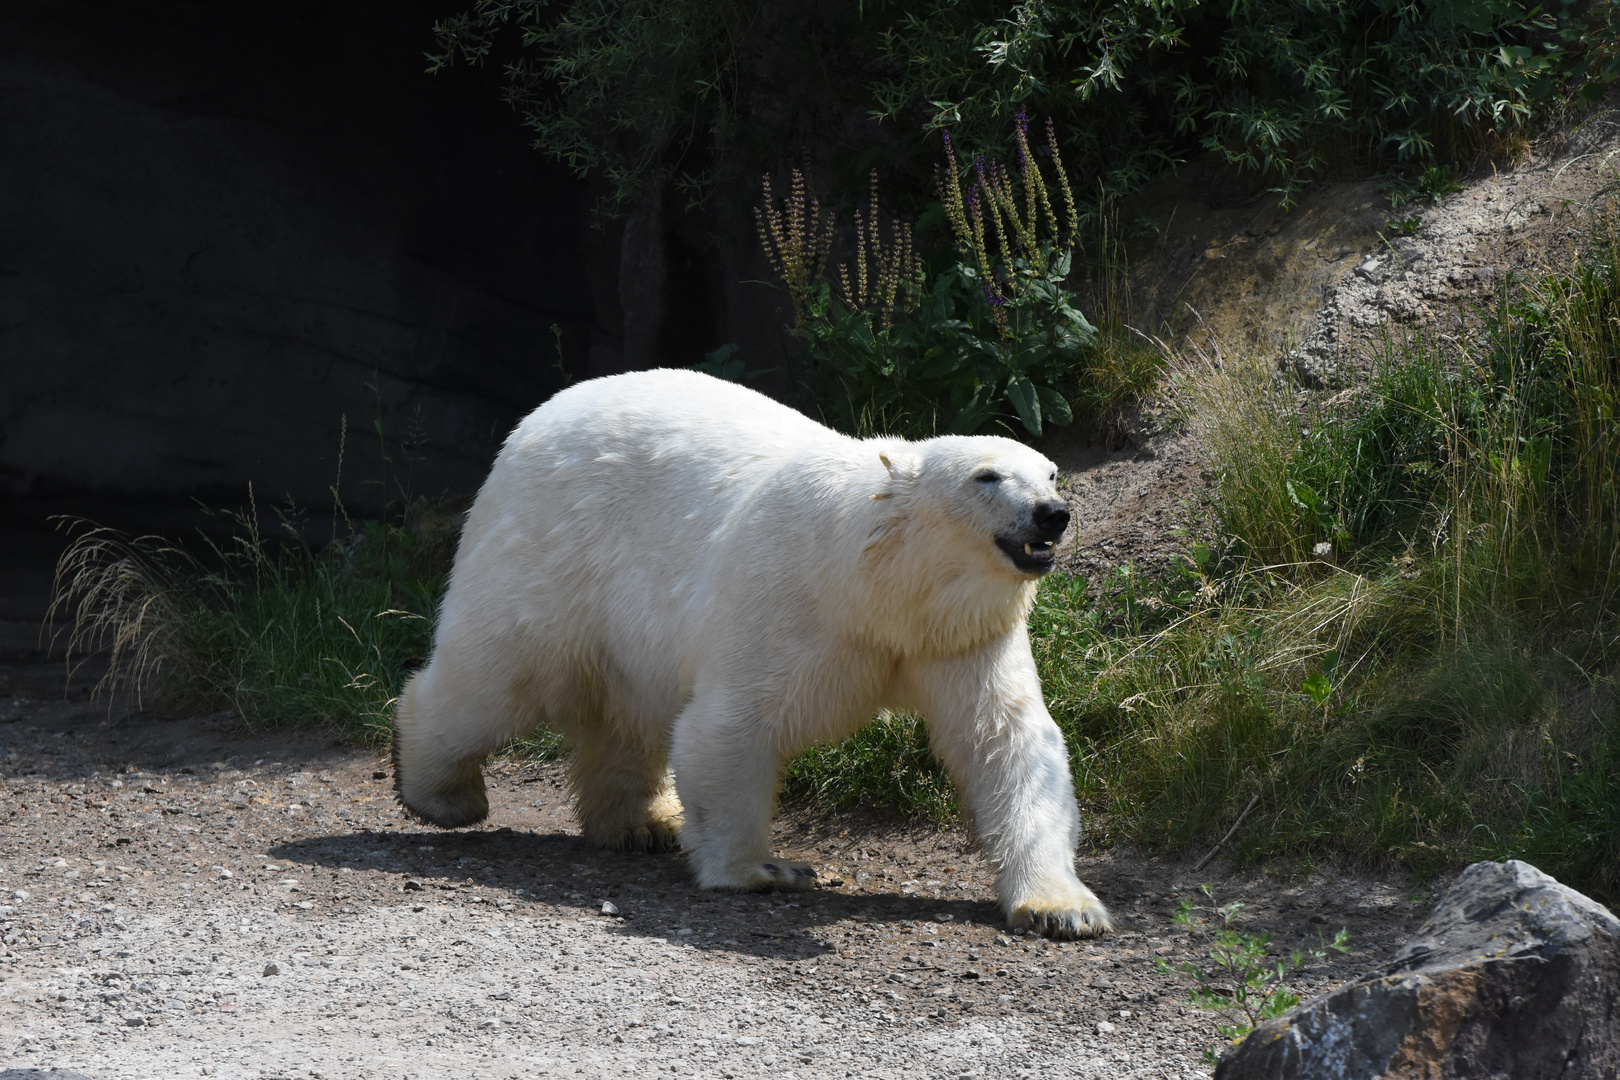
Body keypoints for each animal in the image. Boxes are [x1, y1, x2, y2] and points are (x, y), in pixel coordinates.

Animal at [395, 369, 1114, 939]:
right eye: (985, 475)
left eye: (1050, 471)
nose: (1052, 513)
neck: (875, 589)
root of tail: (534, 421)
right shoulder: (786, 599)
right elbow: (730, 725)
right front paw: (763, 869)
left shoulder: (961, 637)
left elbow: (1006, 740)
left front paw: (1063, 908)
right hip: (550, 555)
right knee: (496, 676)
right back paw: (442, 792)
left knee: (627, 713)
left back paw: (641, 822)